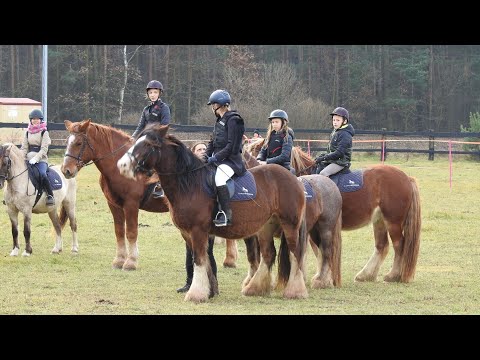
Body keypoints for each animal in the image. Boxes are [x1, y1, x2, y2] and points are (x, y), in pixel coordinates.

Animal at [61, 120, 171, 270]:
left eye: (78, 143)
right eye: (67, 142)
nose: (66, 170)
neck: (119, 167)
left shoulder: (131, 204)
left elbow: (131, 232)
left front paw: (131, 262)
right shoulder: (114, 205)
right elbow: (119, 231)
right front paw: (119, 260)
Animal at [118, 125, 310, 302]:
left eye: (148, 144)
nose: (122, 165)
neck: (190, 183)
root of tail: (294, 178)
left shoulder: (198, 231)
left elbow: (199, 260)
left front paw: (195, 294)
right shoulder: (188, 233)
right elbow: (203, 260)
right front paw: (209, 291)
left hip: (290, 225)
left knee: (295, 254)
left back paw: (295, 291)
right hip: (266, 227)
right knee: (269, 254)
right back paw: (254, 288)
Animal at [248, 139, 420, 282]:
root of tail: (406, 177)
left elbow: (318, 251)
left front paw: (320, 276)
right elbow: (318, 251)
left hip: (393, 221)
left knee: (399, 245)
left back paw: (394, 275)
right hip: (379, 220)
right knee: (382, 246)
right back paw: (366, 275)